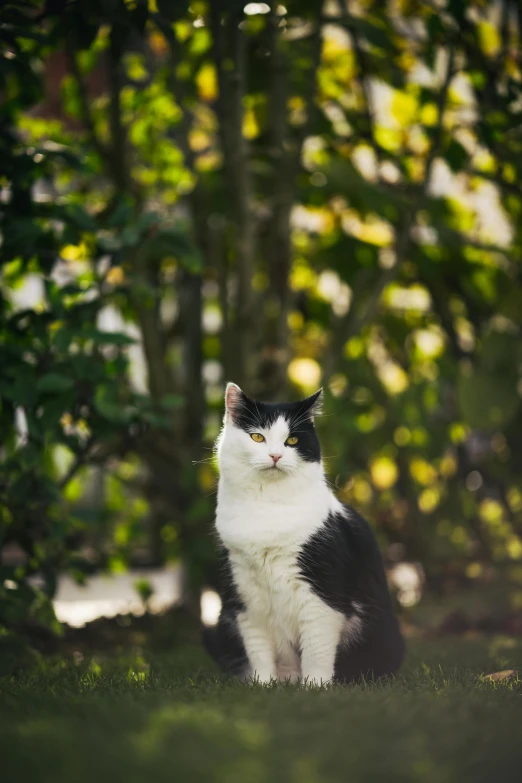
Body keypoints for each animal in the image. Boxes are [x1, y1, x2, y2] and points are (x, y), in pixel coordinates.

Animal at [202, 384, 402, 688]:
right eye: (257, 437)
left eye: (293, 440)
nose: (275, 456)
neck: (267, 506)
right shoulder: (246, 596)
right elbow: (258, 652)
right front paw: (262, 686)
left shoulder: (321, 598)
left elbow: (317, 651)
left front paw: (315, 688)